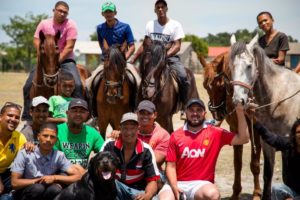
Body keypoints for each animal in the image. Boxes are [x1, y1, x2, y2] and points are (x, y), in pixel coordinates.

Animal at [199, 52, 262, 199]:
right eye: (205, 86)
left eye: (221, 85)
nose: (216, 112)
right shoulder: (235, 129)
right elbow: (237, 163)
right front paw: (235, 192)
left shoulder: (255, 131)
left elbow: (255, 163)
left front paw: (257, 193)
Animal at [229, 33, 300, 199]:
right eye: (232, 66)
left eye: (249, 66)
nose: (238, 100)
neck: (277, 97)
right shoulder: (267, 141)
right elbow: (267, 174)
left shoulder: (287, 141)